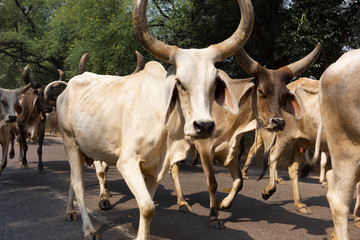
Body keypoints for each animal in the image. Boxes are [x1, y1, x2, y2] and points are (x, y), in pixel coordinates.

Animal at [56, 0, 255, 240]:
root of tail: (66, 90)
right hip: (69, 142)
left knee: (72, 181)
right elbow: (148, 206)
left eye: (214, 82)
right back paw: (89, 228)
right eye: (179, 82)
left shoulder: (153, 169)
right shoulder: (128, 162)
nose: (204, 126)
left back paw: (69, 211)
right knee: (79, 184)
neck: (165, 126)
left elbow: (148, 207)